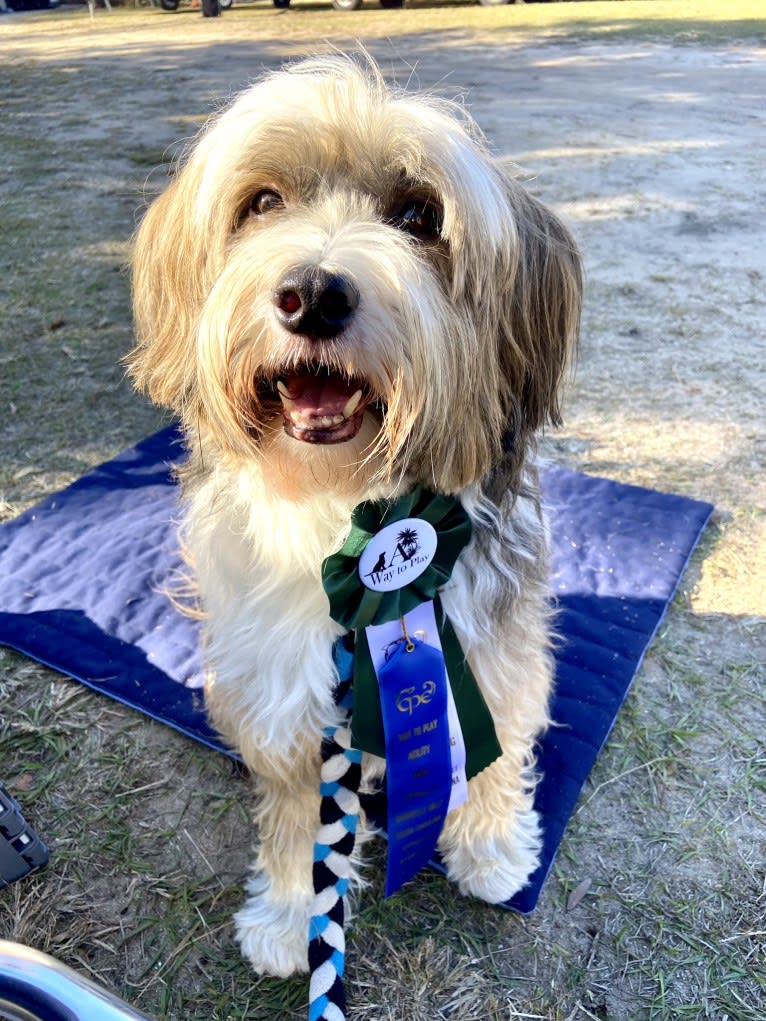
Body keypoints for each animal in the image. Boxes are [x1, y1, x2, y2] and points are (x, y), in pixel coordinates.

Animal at [127, 55, 580, 980]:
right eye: (263, 202)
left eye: (419, 215)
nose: (311, 293)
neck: (343, 504)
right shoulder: (281, 680)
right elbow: (299, 807)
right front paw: (290, 910)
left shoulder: (490, 645)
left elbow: (497, 743)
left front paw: (491, 846)